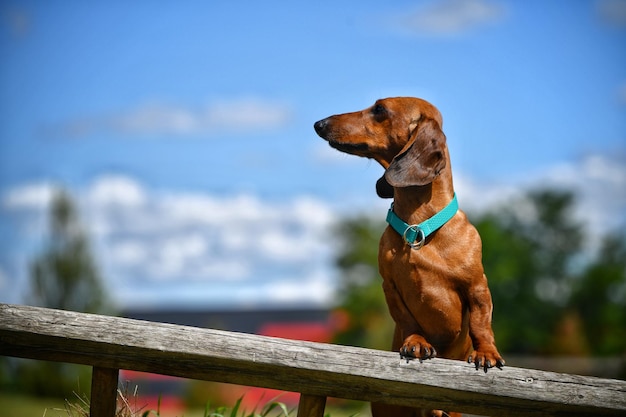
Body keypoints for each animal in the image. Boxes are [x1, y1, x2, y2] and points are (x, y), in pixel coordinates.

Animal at [312, 97, 502, 416]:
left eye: (379, 109)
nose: (319, 124)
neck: (418, 228)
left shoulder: (477, 286)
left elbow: (480, 323)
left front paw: (486, 352)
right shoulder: (391, 287)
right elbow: (407, 320)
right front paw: (416, 343)